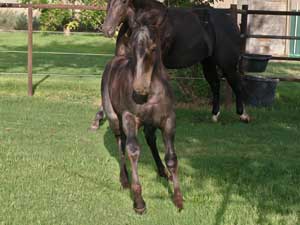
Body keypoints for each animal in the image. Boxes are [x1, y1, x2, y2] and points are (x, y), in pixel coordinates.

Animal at [90, 0, 250, 130]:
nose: (107, 30)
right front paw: (97, 120)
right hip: (208, 62)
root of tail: (232, 23)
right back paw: (215, 116)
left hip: (227, 64)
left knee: (237, 84)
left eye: (123, 1)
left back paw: (243, 116)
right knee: (216, 84)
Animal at [101, 25, 183, 214]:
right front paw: (139, 202)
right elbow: (132, 151)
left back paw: (162, 172)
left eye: (153, 48)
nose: (139, 88)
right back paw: (124, 179)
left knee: (150, 139)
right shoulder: (129, 118)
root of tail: (115, 59)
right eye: (132, 49)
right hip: (114, 119)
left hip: (150, 123)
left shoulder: (168, 120)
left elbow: (171, 158)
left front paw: (178, 199)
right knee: (120, 143)